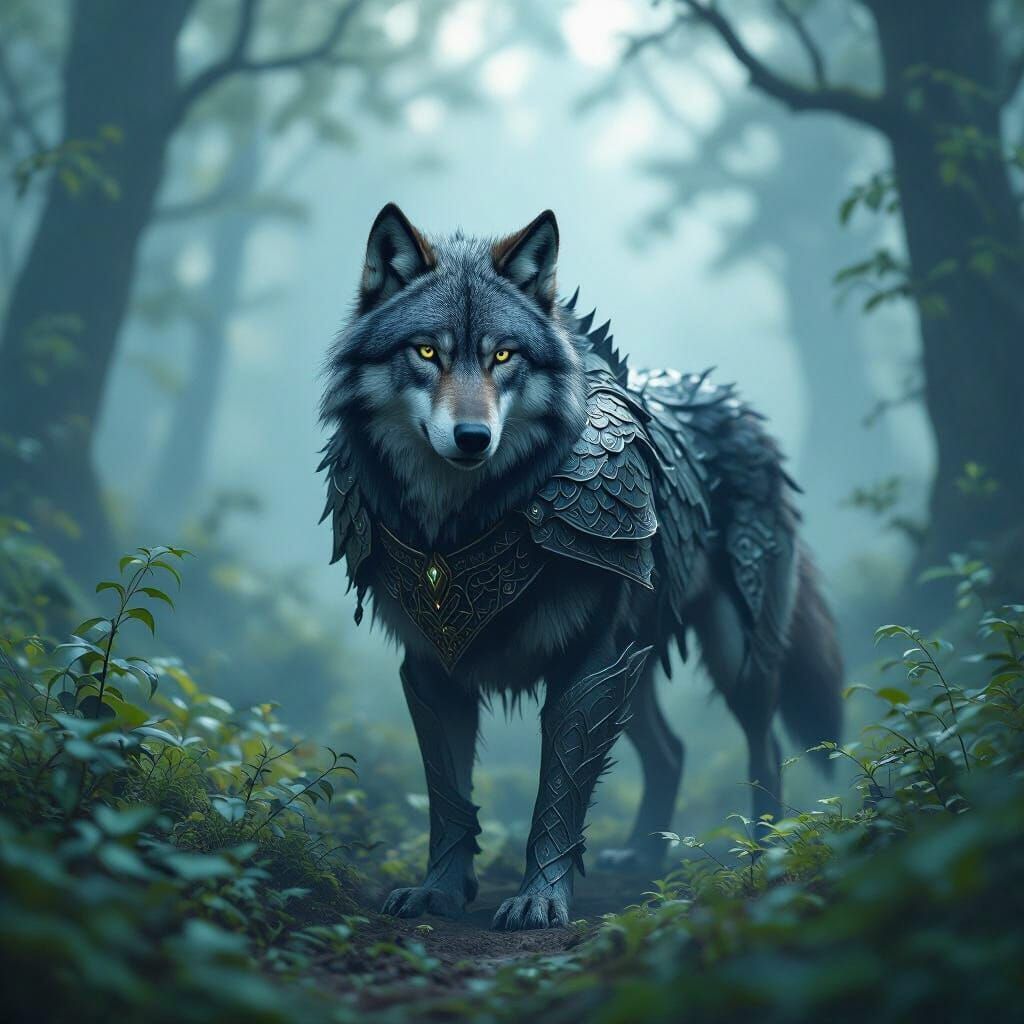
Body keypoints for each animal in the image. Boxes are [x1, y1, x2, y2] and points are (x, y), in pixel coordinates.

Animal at [319, 204, 843, 931]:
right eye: (426, 353)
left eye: (503, 356)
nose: (473, 438)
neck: (464, 520)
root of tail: (740, 407)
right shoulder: (430, 664)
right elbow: (448, 793)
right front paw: (439, 892)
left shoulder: (587, 661)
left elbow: (558, 794)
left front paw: (540, 898)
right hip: (639, 657)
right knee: (672, 751)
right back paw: (645, 855)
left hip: (732, 652)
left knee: (763, 748)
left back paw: (760, 857)